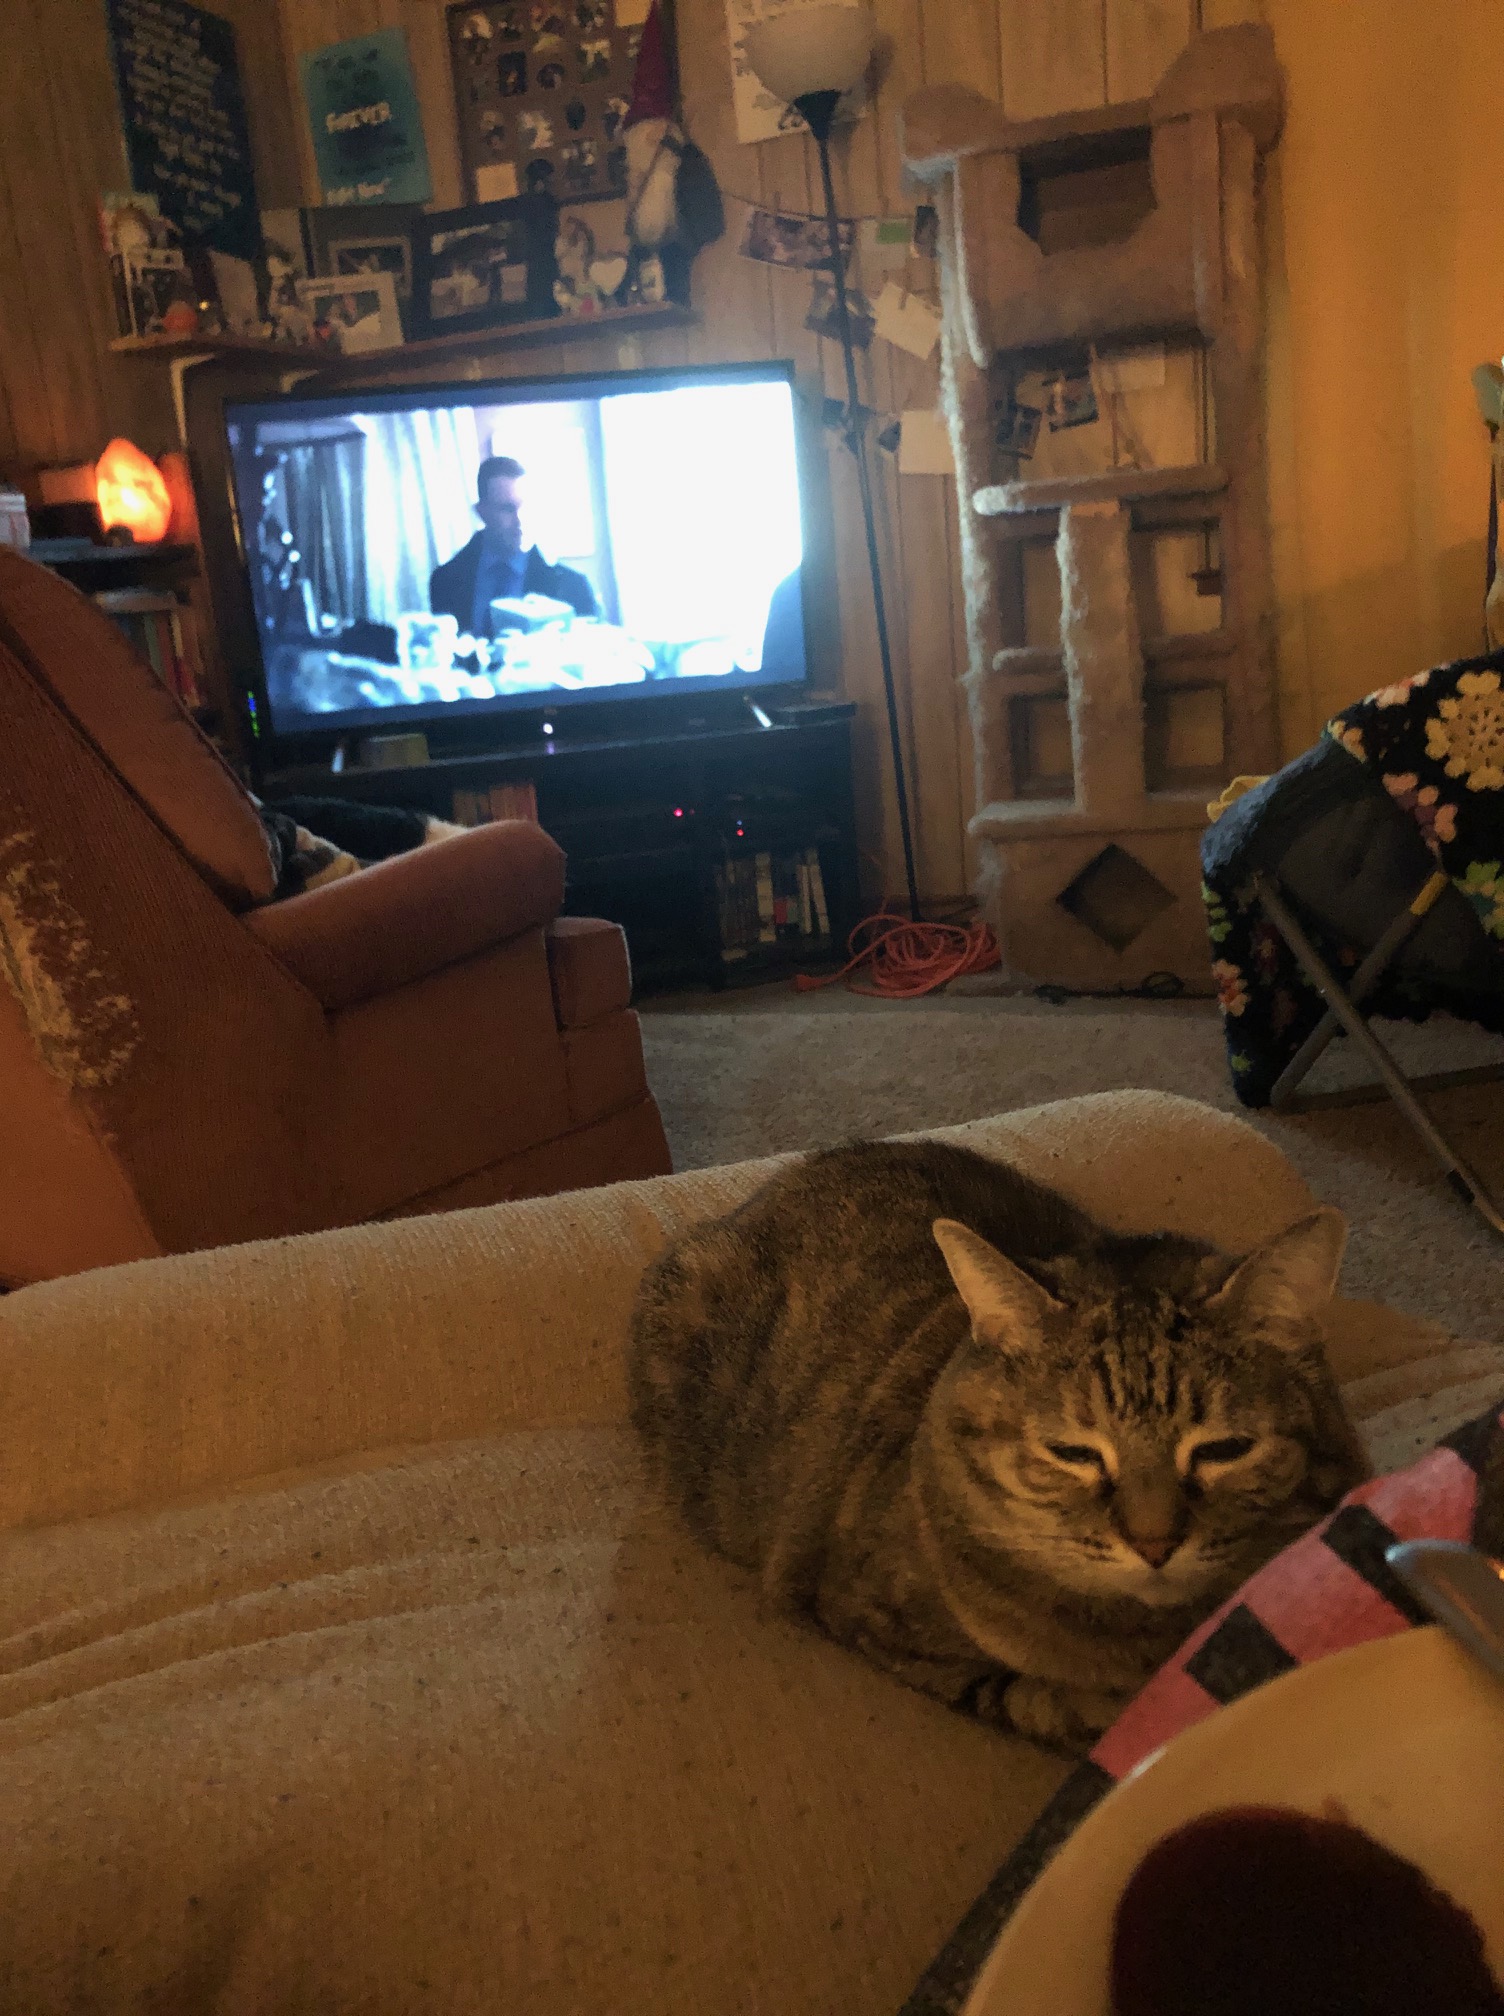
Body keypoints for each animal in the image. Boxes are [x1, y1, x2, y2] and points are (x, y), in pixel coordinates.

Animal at [629, 1139, 1369, 1752]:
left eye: (1224, 1449)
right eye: (1074, 1454)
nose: (1155, 1544)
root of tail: (769, 1188)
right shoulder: (871, 1618)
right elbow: (1038, 1700)